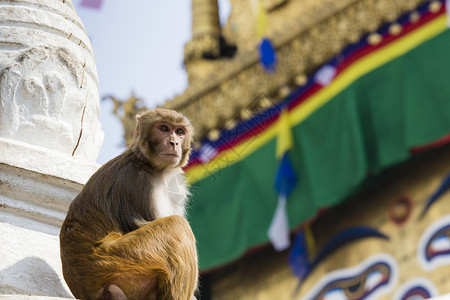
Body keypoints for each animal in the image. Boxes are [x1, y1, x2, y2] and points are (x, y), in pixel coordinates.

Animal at [59, 108, 199, 300]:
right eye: (163, 128)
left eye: (179, 132)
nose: (174, 142)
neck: (151, 166)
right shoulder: (139, 184)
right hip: (116, 260)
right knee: (176, 224)